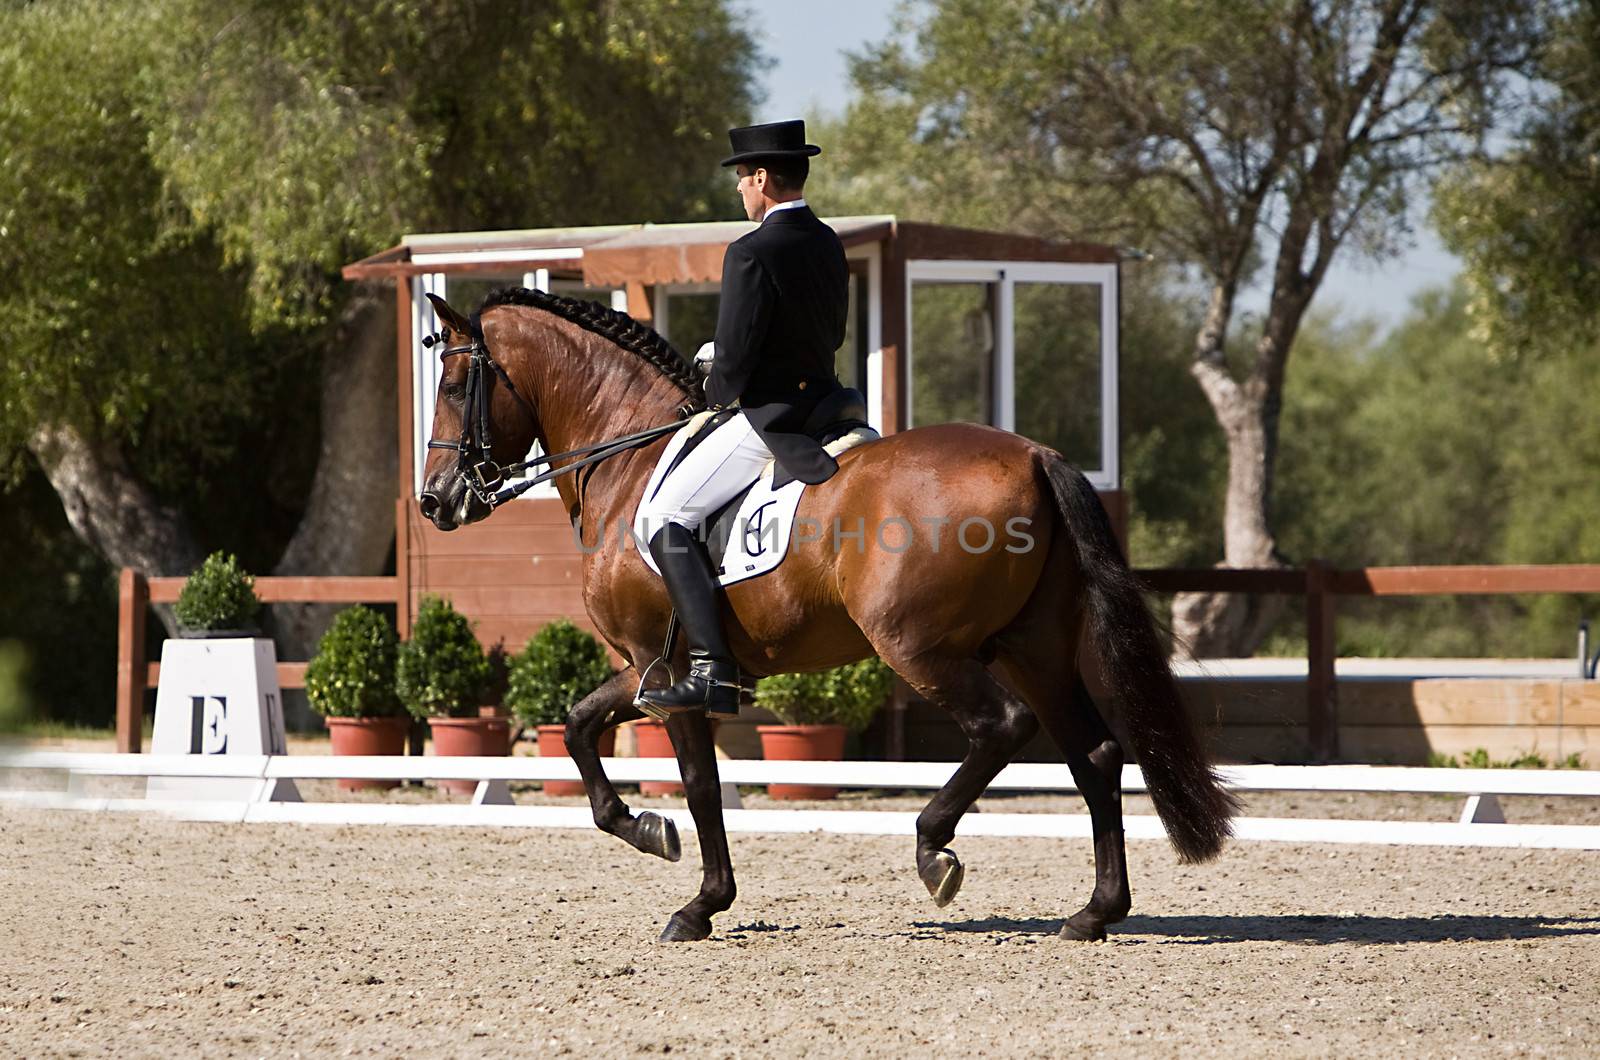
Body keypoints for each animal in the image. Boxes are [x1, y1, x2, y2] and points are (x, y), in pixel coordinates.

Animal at [416, 286, 1235, 941]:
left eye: (454, 384)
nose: (434, 501)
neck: (629, 457)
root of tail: (1035, 455)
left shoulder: (667, 667)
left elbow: (698, 779)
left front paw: (700, 904)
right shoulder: (647, 669)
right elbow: (580, 725)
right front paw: (647, 830)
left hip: (922, 647)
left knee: (1002, 727)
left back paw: (934, 851)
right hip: (1031, 648)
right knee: (1093, 754)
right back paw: (1094, 912)